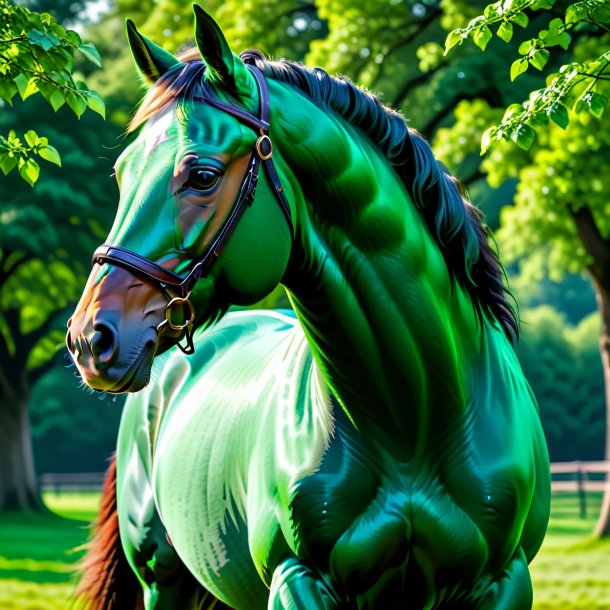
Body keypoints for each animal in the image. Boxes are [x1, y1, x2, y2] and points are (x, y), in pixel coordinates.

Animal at [67, 7, 552, 604]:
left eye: (202, 175)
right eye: (122, 174)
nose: (90, 338)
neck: (411, 416)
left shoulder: (505, 580)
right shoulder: (298, 579)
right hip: (163, 580)